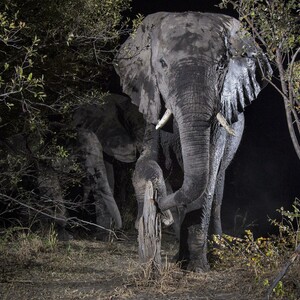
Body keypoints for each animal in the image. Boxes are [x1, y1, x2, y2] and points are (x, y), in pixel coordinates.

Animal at [115, 12, 272, 272]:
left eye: (221, 66)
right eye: (162, 64)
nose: (160, 209)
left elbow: (206, 182)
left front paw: (197, 268)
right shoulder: (151, 104)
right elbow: (146, 162)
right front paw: (159, 198)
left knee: (217, 190)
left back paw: (214, 254)